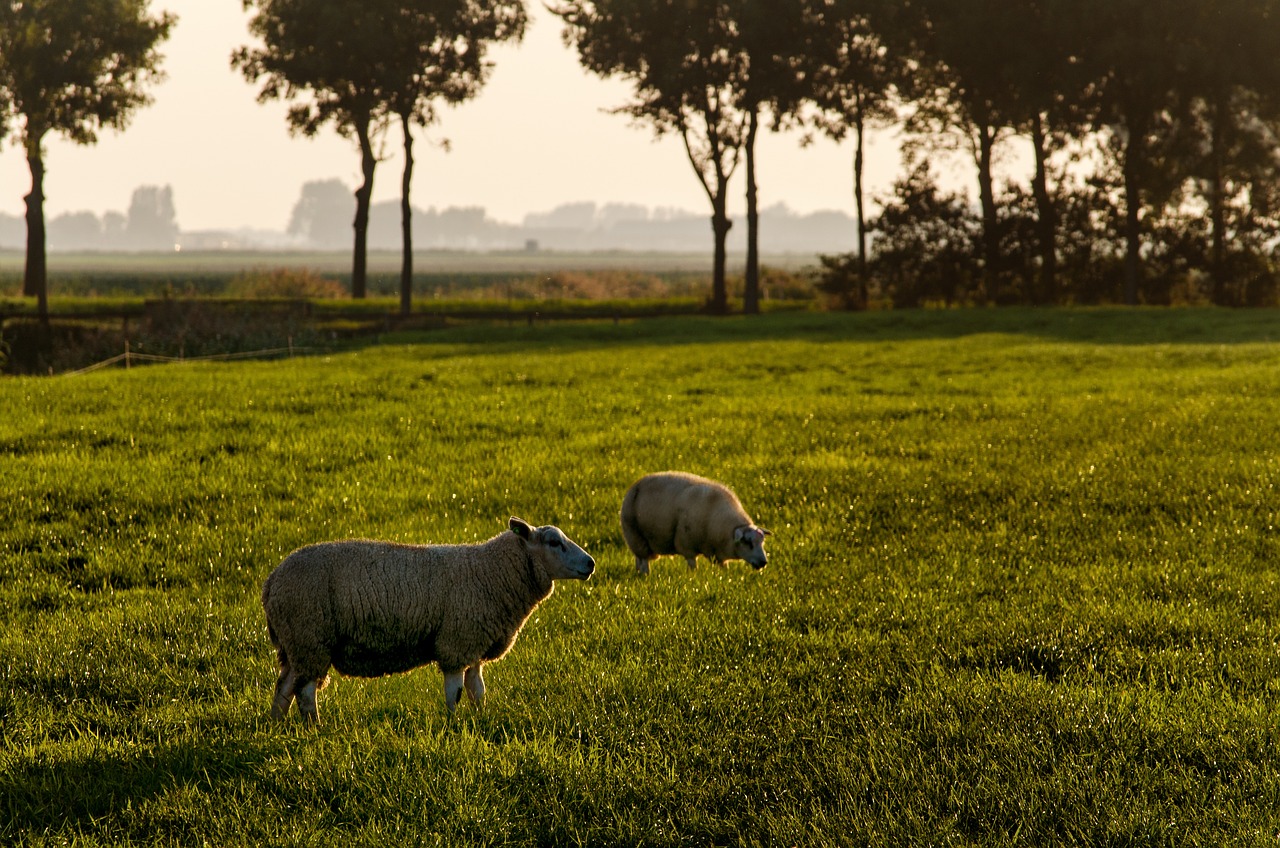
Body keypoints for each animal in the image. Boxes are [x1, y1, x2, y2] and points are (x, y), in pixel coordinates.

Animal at [263, 517, 599, 722]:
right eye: (554, 542)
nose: (591, 564)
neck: (492, 571)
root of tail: (271, 583)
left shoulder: (473, 645)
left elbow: (478, 691)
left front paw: (481, 720)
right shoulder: (456, 643)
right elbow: (455, 693)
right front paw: (453, 725)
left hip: (295, 645)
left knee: (284, 688)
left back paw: (278, 726)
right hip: (311, 637)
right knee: (306, 694)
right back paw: (314, 729)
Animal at [619, 471, 768, 578]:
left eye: (762, 542)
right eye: (748, 542)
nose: (764, 562)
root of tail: (635, 485)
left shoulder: (717, 553)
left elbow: (723, 567)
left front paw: (725, 577)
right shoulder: (686, 543)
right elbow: (692, 565)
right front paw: (693, 578)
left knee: (638, 560)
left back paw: (638, 574)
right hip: (636, 536)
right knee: (644, 561)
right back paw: (646, 577)